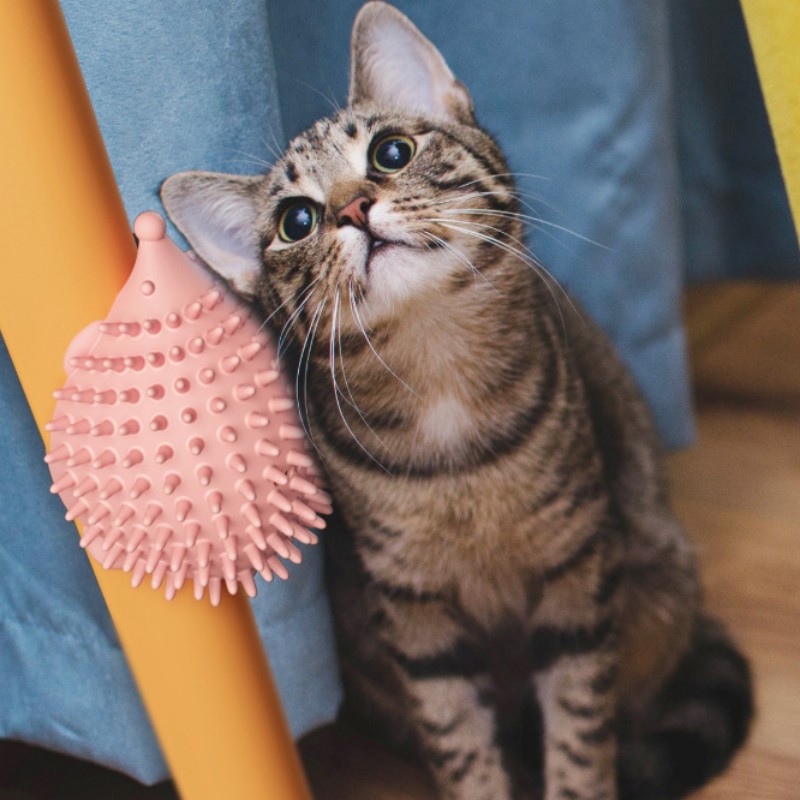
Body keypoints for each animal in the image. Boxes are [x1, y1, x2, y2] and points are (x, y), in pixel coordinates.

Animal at [161, 3, 752, 796]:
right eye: (296, 221)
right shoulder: (416, 614)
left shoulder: (574, 572)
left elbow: (579, 730)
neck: (435, 367)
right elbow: (459, 739)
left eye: (391, 151)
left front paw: (575, 779)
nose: (353, 208)